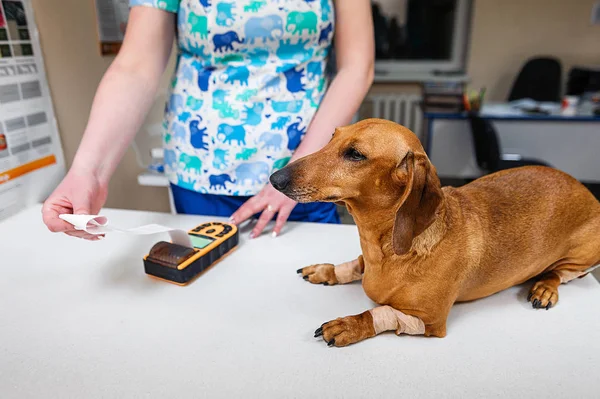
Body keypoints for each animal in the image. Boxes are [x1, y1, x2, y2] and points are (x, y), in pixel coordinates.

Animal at [270, 118, 600, 346]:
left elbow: (382, 313)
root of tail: (583, 189)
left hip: (582, 257)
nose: (274, 179)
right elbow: (355, 265)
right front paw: (326, 271)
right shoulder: (367, 259)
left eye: (355, 154)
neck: (388, 249)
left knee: (562, 273)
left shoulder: (428, 321)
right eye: (332, 137)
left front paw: (351, 325)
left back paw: (545, 287)